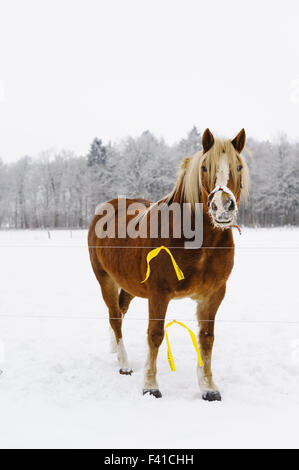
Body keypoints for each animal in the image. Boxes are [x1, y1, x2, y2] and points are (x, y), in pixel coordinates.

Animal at [88, 127, 250, 400]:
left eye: (238, 167)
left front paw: (209, 388)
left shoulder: (213, 295)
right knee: (115, 317)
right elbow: (154, 335)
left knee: (119, 312)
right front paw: (150, 385)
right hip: (105, 280)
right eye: (204, 167)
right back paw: (124, 364)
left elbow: (207, 338)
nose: (222, 207)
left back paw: (114, 350)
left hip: (130, 285)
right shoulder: (159, 294)